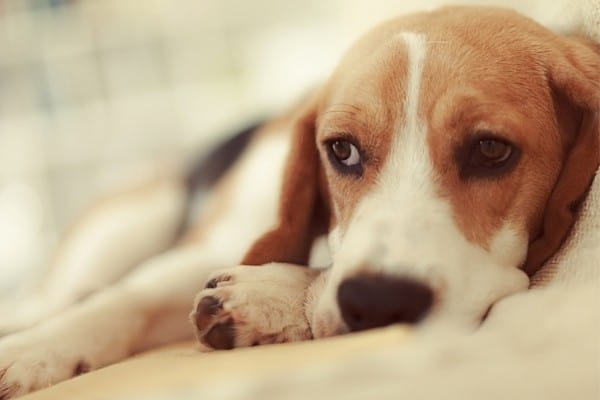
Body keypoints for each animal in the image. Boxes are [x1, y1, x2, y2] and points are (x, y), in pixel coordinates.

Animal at [1, 5, 600, 396]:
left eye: (491, 150)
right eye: (342, 150)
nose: (379, 302)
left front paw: (269, 299)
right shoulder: (204, 248)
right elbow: (124, 300)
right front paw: (34, 350)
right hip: (123, 229)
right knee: (67, 292)